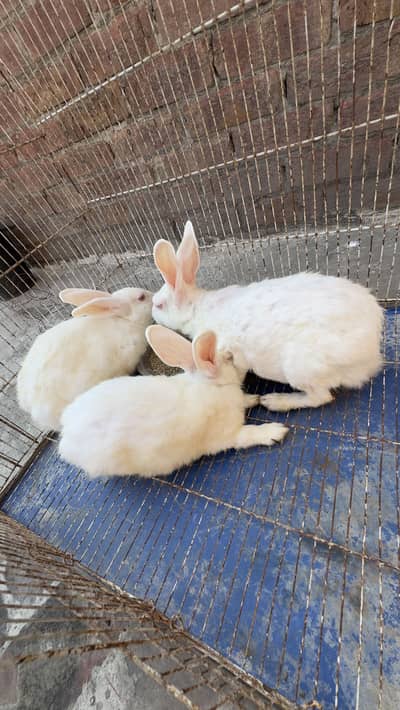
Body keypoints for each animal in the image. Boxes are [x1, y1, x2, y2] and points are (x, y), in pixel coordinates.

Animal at [58, 325, 288, 478]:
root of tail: (65, 436)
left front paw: (253, 399)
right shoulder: (228, 435)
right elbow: (247, 435)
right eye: (230, 358)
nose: (236, 356)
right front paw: (275, 432)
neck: (212, 386)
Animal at [151, 221, 384, 412]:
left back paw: (275, 401)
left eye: (159, 305)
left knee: (321, 397)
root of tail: (372, 353)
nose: (152, 311)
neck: (199, 309)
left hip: (300, 368)